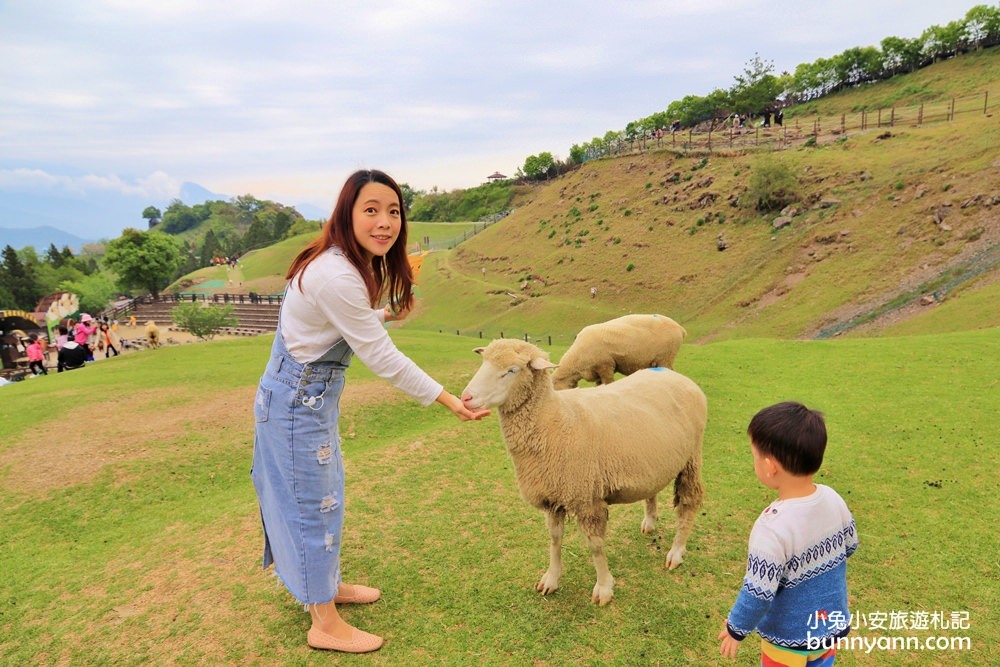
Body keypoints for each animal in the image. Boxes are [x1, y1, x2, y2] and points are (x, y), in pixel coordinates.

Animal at [458, 340, 704, 604]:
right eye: (484, 362)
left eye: (512, 370)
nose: (466, 398)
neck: (553, 420)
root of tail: (675, 375)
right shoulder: (553, 497)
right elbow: (555, 539)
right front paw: (551, 578)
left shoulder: (587, 498)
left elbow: (595, 545)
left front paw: (604, 587)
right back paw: (650, 522)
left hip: (692, 457)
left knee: (689, 502)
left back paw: (676, 552)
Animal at [548, 314, 688, 392]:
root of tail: (680, 328)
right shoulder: (597, 372)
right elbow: (599, 385)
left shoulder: (605, 366)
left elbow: (608, 382)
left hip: (666, 357)